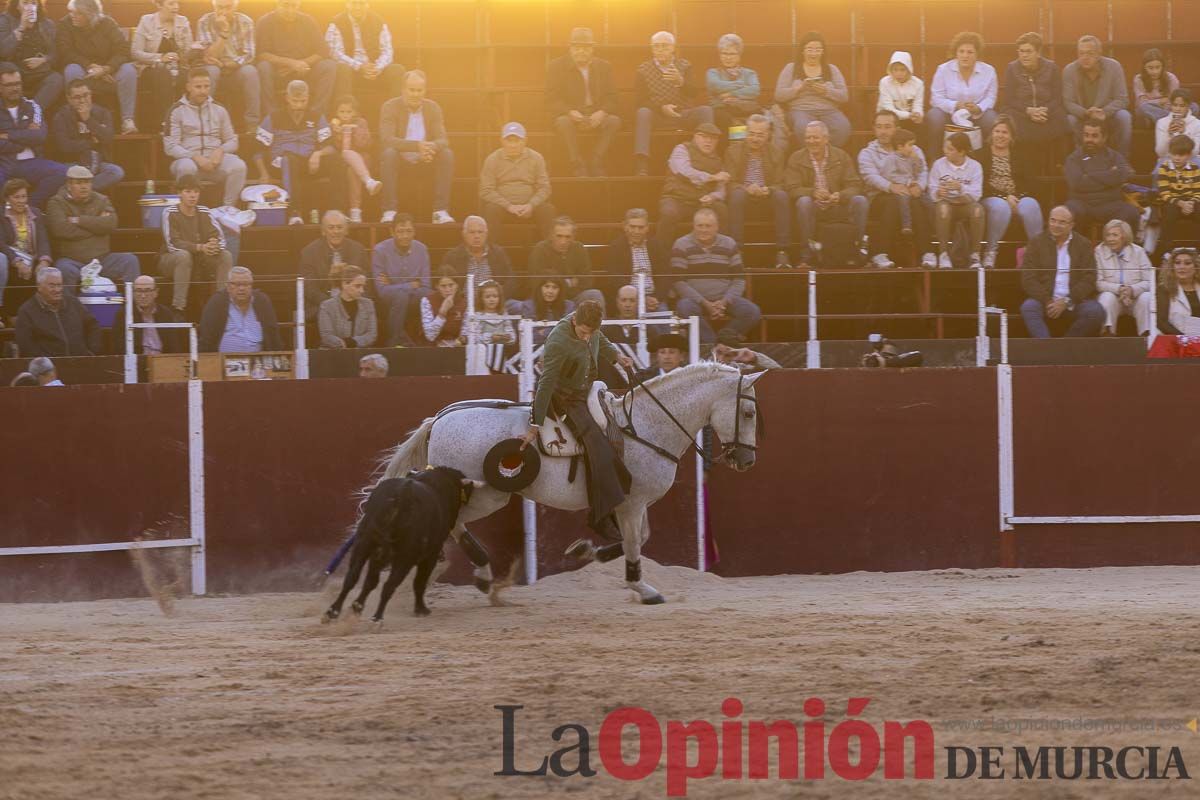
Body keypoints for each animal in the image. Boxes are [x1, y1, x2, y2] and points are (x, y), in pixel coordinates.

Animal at [374, 362, 763, 599]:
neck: (647, 425)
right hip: (489, 495)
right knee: (452, 522)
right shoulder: (632, 503)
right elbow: (635, 542)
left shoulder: (634, 503)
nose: (746, 461)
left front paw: (587, 550)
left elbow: (640, 539)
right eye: (748, 412)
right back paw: (480, 574)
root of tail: (439, 420)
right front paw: (643, 589)